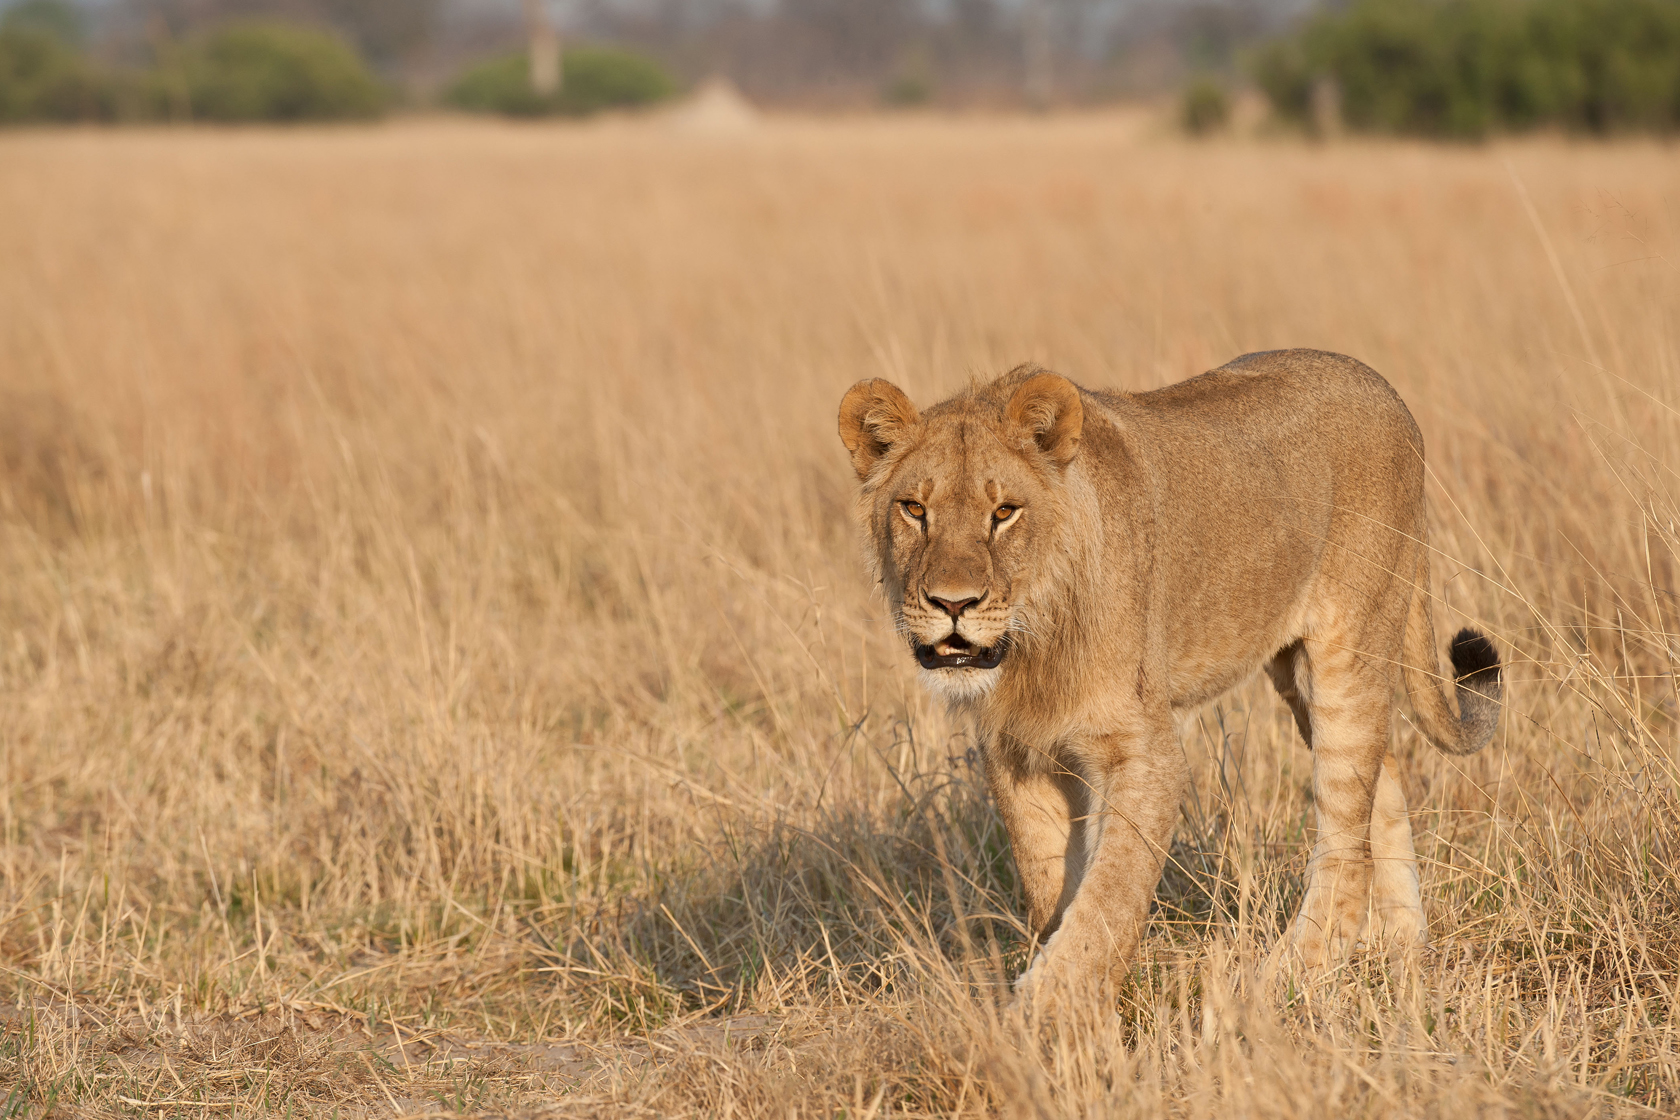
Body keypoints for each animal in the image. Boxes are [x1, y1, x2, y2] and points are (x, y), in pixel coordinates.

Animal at [837, 349, 1501, 995]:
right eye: (914, 509)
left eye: (1003, 512)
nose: (953, 604)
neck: (1034, 644)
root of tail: (1384, 388)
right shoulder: (1015, 752)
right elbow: (1052, 889)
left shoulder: (1145, 753)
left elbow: (1107, 898)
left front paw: (1046, 1010)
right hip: (1299, 675)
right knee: (1381, 783)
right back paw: (1403, 953)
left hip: (1345, 649)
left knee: (1345, 834)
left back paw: (1286, 980)